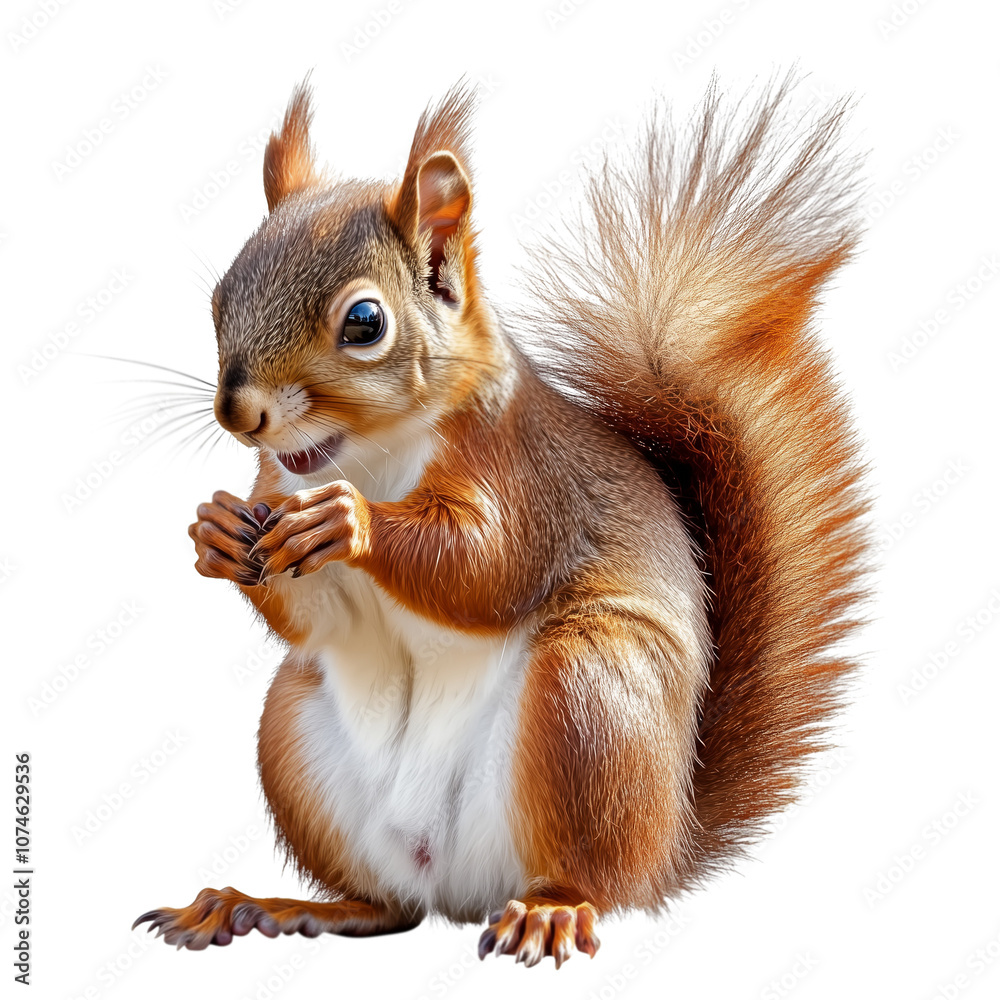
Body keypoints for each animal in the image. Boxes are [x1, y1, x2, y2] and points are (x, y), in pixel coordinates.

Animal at [134, 75, 869, 968]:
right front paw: (213, 530)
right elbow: (314, 616)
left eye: (365, 323)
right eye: (219, 299)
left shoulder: (526, 480)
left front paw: (350, 524)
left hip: (589, 700)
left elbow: (487, 569)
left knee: (590, 878)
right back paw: (265, 905)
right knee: (386, 905)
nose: (239, 413)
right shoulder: (280, 489)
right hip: (294, 729)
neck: (369, 457)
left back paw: (551, 908)